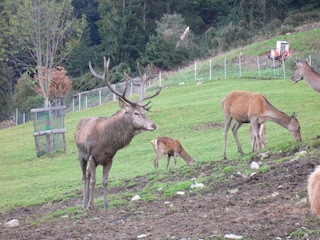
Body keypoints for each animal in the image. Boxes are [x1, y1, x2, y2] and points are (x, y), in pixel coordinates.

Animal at [74, 57, 160, 209]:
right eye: (136, 113)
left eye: (143, 111)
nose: (153, 125)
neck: (106, 143)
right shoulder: (92, 157)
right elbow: (93, 181)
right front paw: (91, 205)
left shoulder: (109, 159)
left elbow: (105, 181)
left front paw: (105, 204)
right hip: (81, 154)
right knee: (84, 177)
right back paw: (85, 203)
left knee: (88, 175)